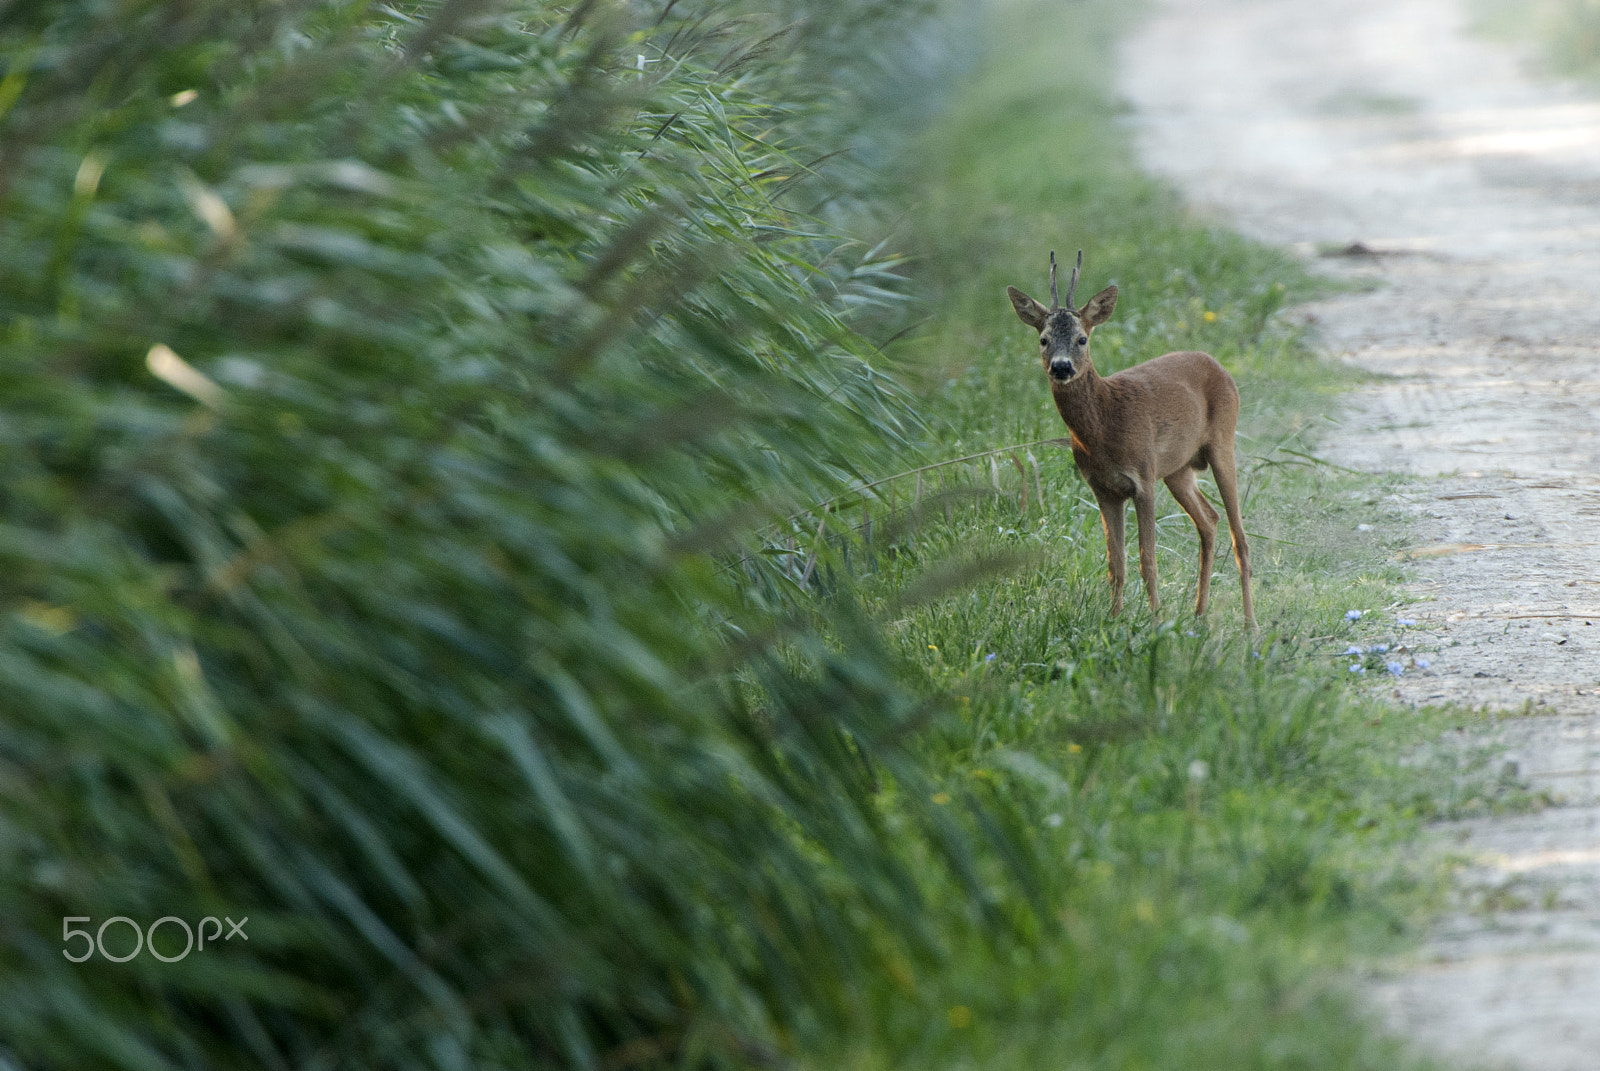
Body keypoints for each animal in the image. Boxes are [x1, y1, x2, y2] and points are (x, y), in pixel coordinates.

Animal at [1004, 251, 1254, 630]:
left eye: (1082, 339)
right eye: (1043, 339)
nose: (1061, 367)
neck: (1104, 426)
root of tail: (1216, 362)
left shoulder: (1142, 478)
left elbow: (1147, 559)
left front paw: (1154, 621)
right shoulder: (1102, 488)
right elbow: (1115, 562)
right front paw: (1114, 620)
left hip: (1222, 443)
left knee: (1239, 536)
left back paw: (1250, 625)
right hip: (1177, 469)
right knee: (1209, 520)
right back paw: (1199, 614)